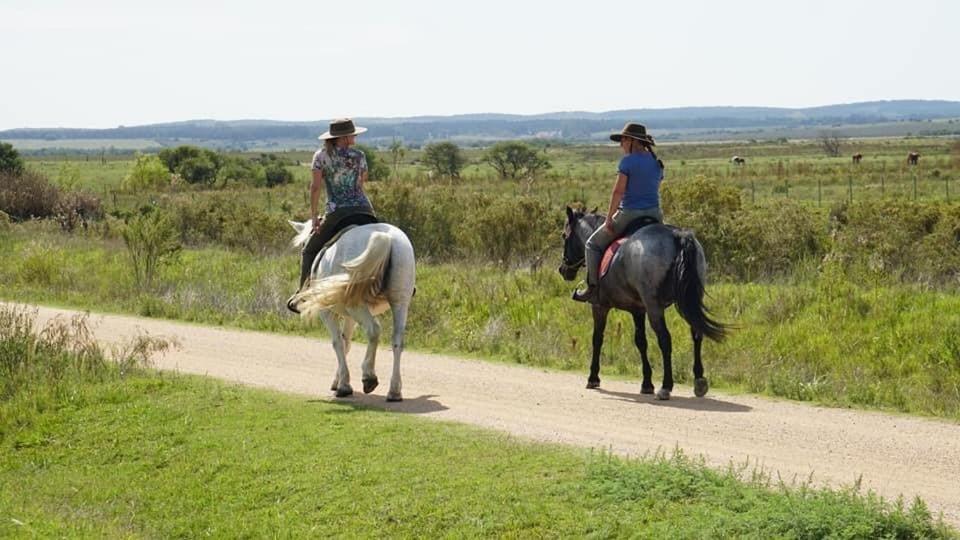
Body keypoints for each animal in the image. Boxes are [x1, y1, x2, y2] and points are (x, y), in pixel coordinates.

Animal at [288, 219, 416, 400]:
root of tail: (385, 238)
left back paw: (369, 377)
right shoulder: (350, 318)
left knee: (373, 330)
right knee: (397, 340)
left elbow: (337, 343)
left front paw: (344, 386)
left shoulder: (327, 312)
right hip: (400, 301)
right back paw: (394, 391)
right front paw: (339, 380)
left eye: (304, 247)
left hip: (356, 306)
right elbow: (346, 342)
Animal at [556, 207, 728, 400]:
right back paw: (699, 380)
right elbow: (641, 341)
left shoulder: (600, 307)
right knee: (696, 334)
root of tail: (677, 236)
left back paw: (666, 386)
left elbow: (597, 338)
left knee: (665, 339)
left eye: (564, 235)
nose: (563, 270)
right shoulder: (638, 309)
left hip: (654, 305)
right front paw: (646, 383)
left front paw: (593, 378)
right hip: (689, 298)